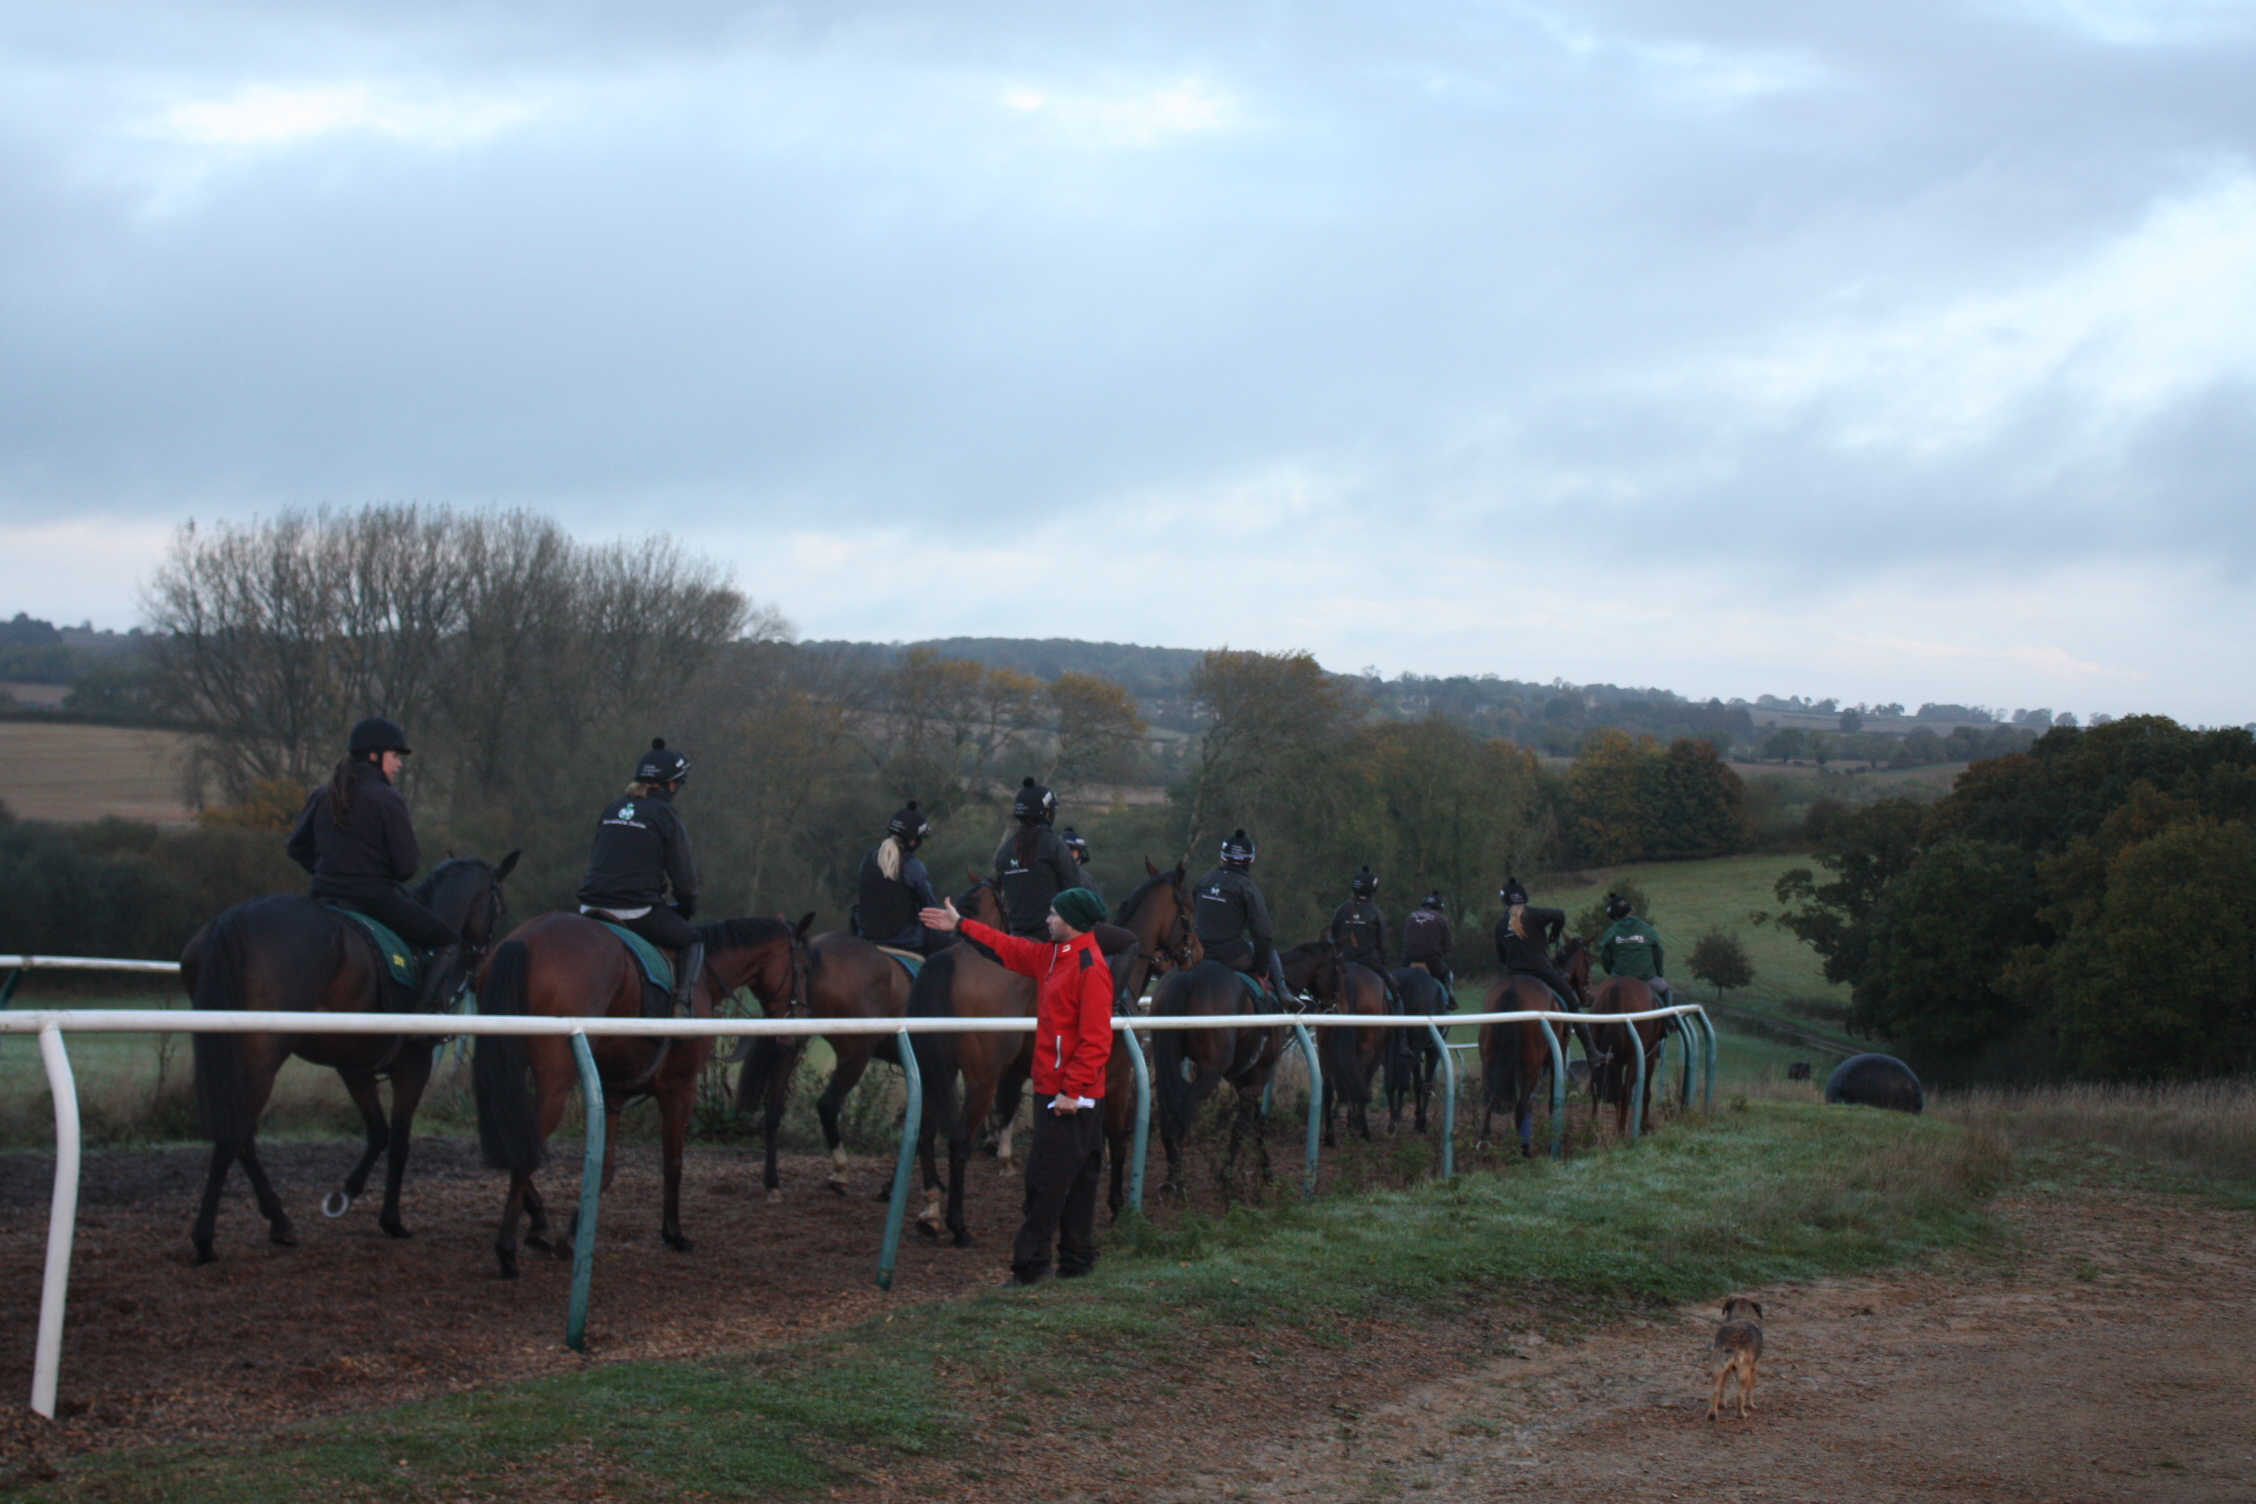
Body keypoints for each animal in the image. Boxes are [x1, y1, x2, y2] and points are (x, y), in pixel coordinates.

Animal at [182, 852, 516, 1262]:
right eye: (499, 906)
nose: (481, 958)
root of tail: (234, 919)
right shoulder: (414, 1066)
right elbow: (399, 1142)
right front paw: (392, 1220)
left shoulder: (354, 1067)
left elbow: (378, 1132)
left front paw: (345, 1193)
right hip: (262, 1053)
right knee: (235, 1133)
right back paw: (206, 1238)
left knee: (241, 1134)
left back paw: (279, 1222)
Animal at [466, 910, 812, 1280]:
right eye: (804, 966)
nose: (800, 1026)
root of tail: (526, 938)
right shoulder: (680, 1089)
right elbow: (673, 1164)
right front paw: (674, 1233)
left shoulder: (613, 1092)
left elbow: (605, 1169)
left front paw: (573, 1233)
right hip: (556, 1083)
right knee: (523, 1151)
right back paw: (507, 1252)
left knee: (514, 1134)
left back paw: (538, 1224)